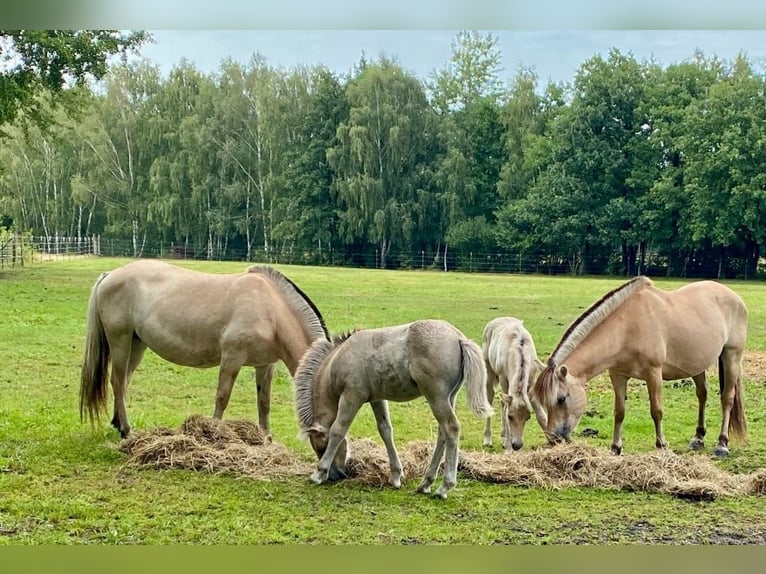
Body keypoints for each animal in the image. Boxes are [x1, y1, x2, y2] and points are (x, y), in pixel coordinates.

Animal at [79, 258, 328, 438]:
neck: (270, 309)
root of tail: (110, 275)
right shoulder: (232, 358)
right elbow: (222, 397)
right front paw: (214, 434)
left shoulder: (265, 365)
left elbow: (264, 402)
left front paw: (266, 438)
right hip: (120, 341)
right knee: (117, 382)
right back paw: (127, 430)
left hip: (136, 344)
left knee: (124, 381)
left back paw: (118, 424)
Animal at [292, 320, 496, 500]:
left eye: (321, 447)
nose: (336, 476)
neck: (340, 358)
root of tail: (458, 338)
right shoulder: (377, 398)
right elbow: (385, 430)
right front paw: (396, 476)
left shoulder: (352, 396)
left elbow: (338, 430)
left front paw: (318, 473)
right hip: (448, 397)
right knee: (442, 433)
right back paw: (425, 483)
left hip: (435, 396)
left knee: (451, 428)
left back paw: (444, 487)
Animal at [484, 318, 548, 452]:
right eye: (510, 417)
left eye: (527, 417)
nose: (517, 445)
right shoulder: (503, 378)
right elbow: (505, 408)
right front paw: (508, 448)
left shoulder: (531, 380)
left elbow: (541, 415)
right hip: (489, 369)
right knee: (490, 398)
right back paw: (488, 440)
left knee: (502, 402)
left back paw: (503, 436)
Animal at [532, 276, 748, 462]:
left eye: (561, 399)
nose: (553, 438)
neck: (627, 328)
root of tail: (735, 297)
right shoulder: (618, 375)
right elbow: (619, 412)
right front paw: (615, 448)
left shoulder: (653, 374)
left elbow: (657, 411)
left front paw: (661, 446)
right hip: (696, 365)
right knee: (702, 395)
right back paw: (698, 438)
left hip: (731, 356)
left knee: (727, 398)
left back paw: (722, 444)